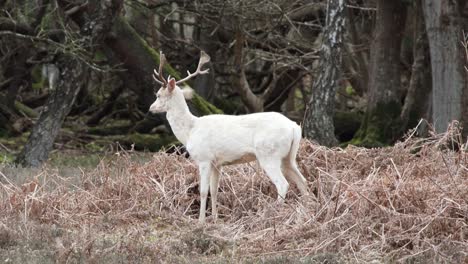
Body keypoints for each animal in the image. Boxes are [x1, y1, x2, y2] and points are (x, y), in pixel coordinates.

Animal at [150, 51, 308, 221]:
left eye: (158, 95)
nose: (151, 108)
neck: (190, 131)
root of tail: (294, 128)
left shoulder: (204, 158)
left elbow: (203, 191)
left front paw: (201, 221)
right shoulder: (217, 163)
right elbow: (214, 190)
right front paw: (215, 218)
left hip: (269, 154)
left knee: (283, 184)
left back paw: (271, 215)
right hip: (288, 157)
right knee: (302, 181)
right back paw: (307, 210)